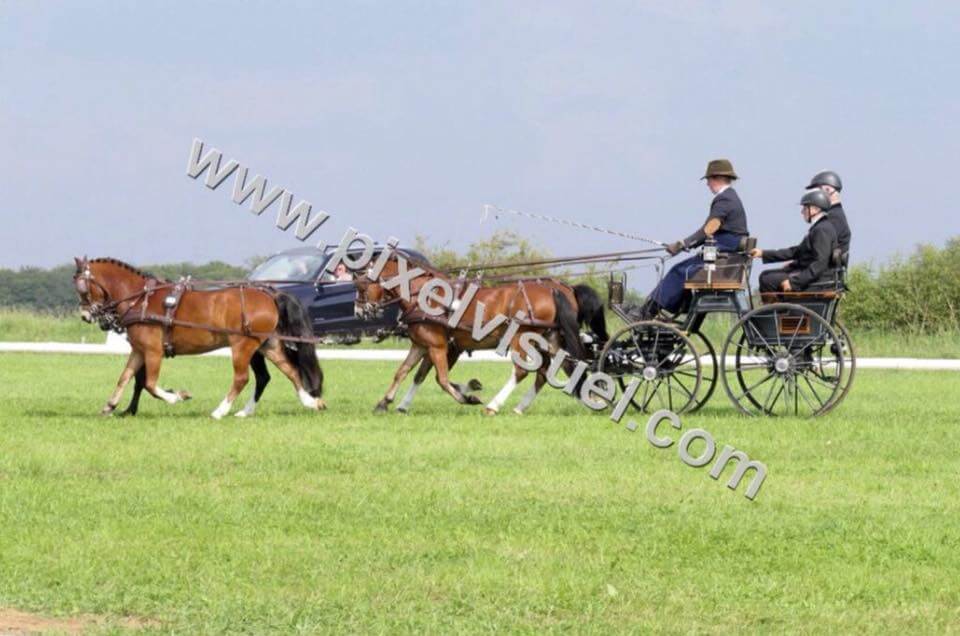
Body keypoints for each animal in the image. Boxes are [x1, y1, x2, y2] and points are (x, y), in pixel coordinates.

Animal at [72, 256, 326, 420]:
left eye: (82, 288)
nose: (85, 315)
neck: (142, 300)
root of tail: (270, 293)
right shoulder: (139, 350)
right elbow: (124, 378)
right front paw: (110, 406)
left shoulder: (153, 351)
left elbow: (150, 384)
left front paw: (177, 396)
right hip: (267, 344)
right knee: (289, 371)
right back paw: (307, 402)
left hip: (243, 345)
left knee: (242, 378)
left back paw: (220, 411)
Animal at [352, 256, 608, 414]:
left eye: (361, 285)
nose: (359, 311)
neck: (424, 296)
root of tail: (556, 288)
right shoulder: (423, 345)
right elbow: (407, 373)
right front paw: (389, 403)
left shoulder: (438, 346)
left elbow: (441, 379)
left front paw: (467, 397)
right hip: (551, 340)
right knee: (552, 371)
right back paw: (522, 407)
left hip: (521, 338)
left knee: (523, 371)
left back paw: (494, 405)